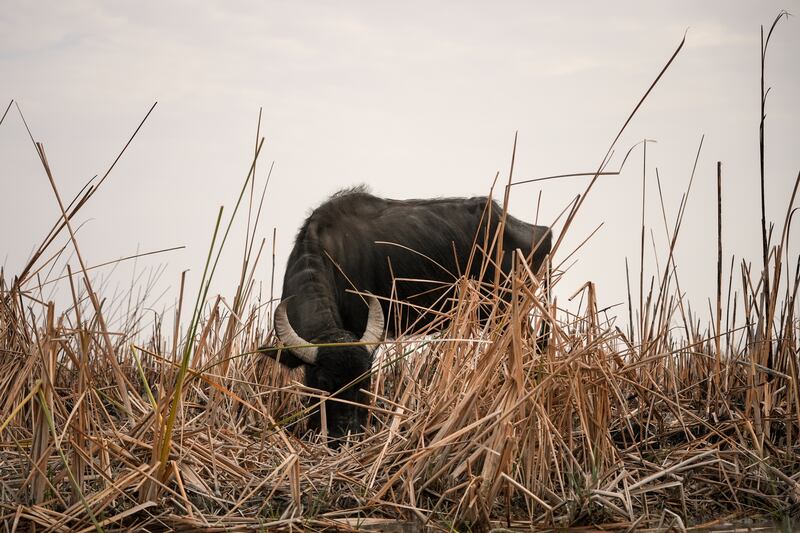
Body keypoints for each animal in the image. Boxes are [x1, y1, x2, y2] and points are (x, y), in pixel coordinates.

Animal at [262, 185, 552, 442]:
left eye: (364, 381)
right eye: (322, 381)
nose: (346, 435)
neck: (330, 256)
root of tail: (541, 233)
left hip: (503, 311)